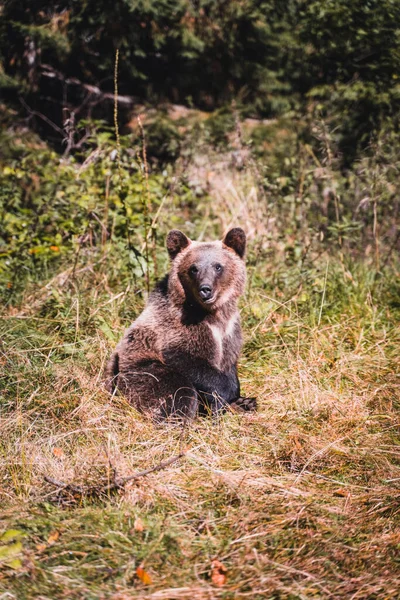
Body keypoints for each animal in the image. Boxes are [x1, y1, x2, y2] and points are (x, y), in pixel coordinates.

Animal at [105, 227, 256, 420]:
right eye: (193, 268)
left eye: (218, 266)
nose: (205, 289)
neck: (211, 313)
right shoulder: (178, 328)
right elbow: (189, 362)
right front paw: (225, 397)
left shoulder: (230, 329)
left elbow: (230, 361)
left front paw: (239, 397)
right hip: (137, 372)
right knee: (180, 392)